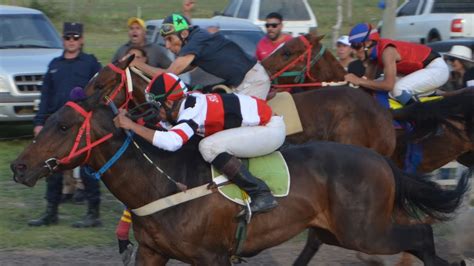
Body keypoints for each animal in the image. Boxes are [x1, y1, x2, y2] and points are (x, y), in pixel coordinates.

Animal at [11, 92, 470, 266]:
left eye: (64, 126)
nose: (18, 167)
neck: (165, 182)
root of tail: (382, 159)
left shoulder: (211, 258)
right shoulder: (152, 253)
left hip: (364, 231)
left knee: (421, 236)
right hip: (348, 228)